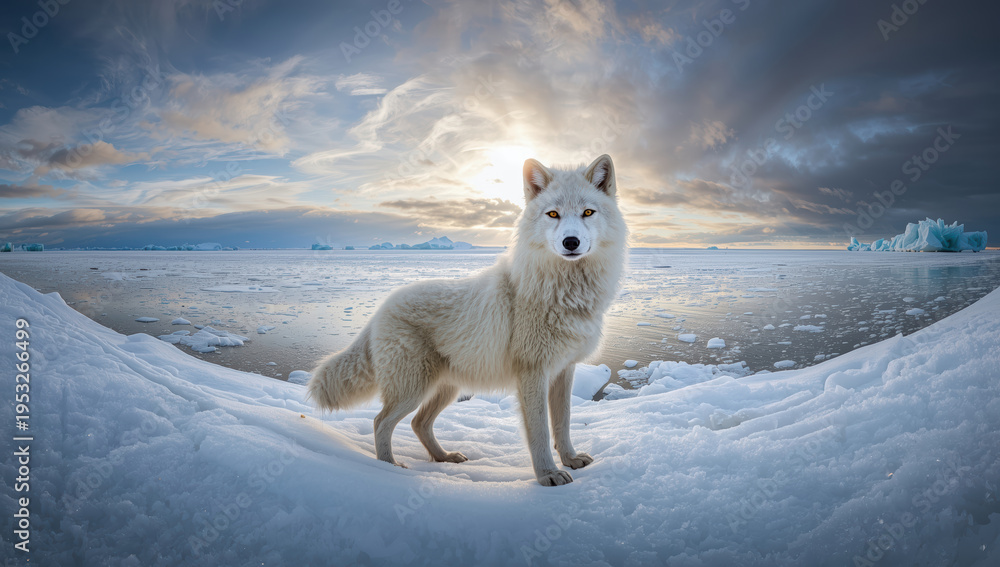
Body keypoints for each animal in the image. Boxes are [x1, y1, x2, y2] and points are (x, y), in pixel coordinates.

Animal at [308, 154, 627, 486]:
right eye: (553, 214)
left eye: (588, 212)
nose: (571, 242)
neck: (563, 293)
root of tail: (379, 312)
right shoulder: (532, 371)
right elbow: (539, 431)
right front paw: (548, 475)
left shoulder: (564, 370)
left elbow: (562, 424)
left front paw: (570, 459)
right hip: (412, 389)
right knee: (380, 422)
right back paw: (390, 469)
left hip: (445, 389)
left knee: (418, 424)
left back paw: (444, 457)